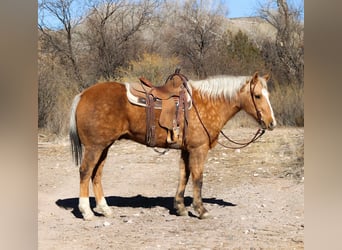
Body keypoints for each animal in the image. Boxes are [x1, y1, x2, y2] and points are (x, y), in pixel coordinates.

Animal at [69, 71, 276, 220]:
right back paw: (86, 211)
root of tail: (82, 94)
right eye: (257, 96)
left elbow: (184, 175)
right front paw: (201, 210)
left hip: (104, 147)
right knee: (85, 172)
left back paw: (104, 209)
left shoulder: (186, 150)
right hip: (95, 147)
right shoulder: (198, 149)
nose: (271, 123)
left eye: (268, 95)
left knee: (96, 174)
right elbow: (198, 178)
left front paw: (180, 208)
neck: (206, 103)